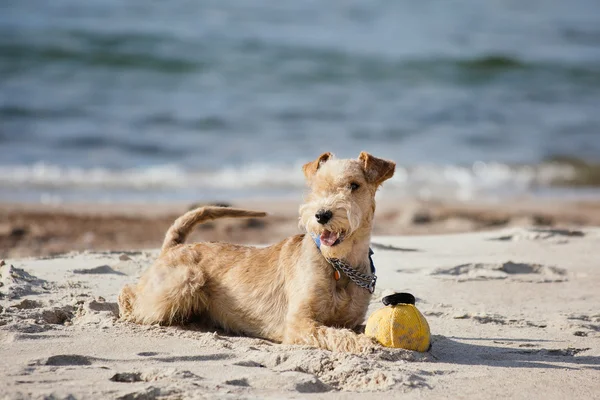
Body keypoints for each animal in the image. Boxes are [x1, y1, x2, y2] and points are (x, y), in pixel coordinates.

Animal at [119, 152, 396, 354]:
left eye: (354, 185)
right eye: (315, 187)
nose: (321, 215)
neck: (339, 264)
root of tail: (173, 247)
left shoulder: (351, 320)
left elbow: (352, 328)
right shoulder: (298, 322)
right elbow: (333, 333)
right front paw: (364, 344)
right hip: (183, 280)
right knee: (130, 293)